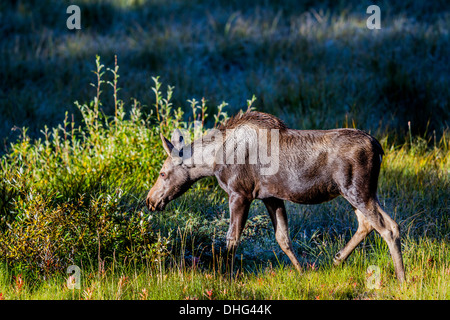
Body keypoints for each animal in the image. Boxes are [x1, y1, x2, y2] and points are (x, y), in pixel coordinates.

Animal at [146, 111, 406, 282]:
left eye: (162, 172)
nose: (150, 200)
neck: (212, 162)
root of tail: (379, 146)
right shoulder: (270, 196)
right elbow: (283, 238)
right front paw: (302, 272)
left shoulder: (240, 193)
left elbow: (231, 238)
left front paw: (223, 276)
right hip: (355, 192)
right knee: (369, 223)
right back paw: (337, 259)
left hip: (357, 191)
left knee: (388, 227)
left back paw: (402, 279)